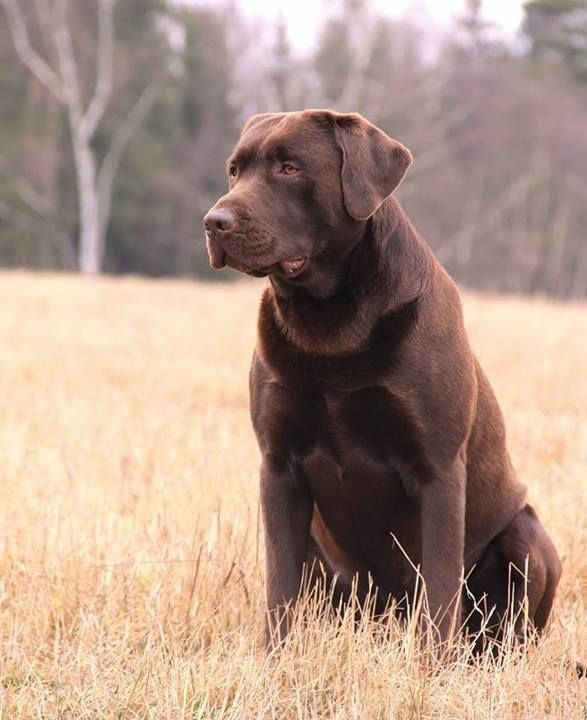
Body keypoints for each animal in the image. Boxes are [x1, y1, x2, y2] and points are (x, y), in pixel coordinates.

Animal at [204, 109, 564, 648]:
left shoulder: (437, 469)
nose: (214, 222)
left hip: (527, 537)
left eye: (289, 168)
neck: (330, 327)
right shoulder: (279, 465)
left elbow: (439, 590)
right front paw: (274, 657)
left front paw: (432, 665)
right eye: (234, 170)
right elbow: (279, 586)